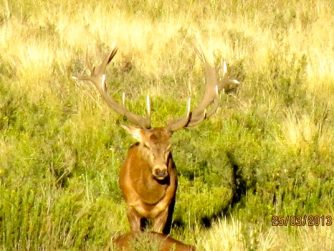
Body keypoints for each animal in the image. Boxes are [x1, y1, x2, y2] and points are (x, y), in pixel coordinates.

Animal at [74, 48, 239, 234]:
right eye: (146, 145)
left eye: (170, 147)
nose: (161, 171)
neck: (149, 198)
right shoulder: (131, 207)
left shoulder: (164, 209)